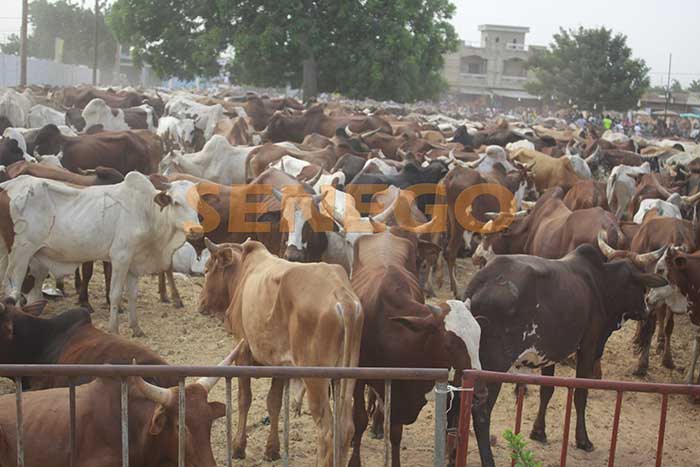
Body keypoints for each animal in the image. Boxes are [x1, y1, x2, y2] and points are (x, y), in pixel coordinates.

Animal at [0, 172, 202, 336]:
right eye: (176, 202)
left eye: (197, 204)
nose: (196, 229)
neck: (146, 212)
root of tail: (7, 186)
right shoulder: (120, 257)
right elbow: (116, 294)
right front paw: (114, 330)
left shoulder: (133, 264)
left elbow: (133, 295)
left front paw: (136, 328)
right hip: (21, 253)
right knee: (13, 287)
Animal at [197, 239, 360, 466]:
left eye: (206, 270)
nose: (201, 303)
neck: (244, 273)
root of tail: (341, 295)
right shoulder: (282, 365)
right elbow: (273, 403)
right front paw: (272, 450)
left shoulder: (242, 350)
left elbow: (244, 399)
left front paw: (238, 446)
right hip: (345, 378)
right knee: (345, 429)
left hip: (316, 379)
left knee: (326, 431)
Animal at [350, 228, 482, 467]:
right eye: (450, 343)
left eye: (478, 337)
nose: (480, 390)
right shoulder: (359, 376)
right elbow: (359, 419)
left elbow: (395, 433)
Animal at [464, 245, 668, 467]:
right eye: (641, 285)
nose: (647, 308)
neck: (601, 283)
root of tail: (482, 279)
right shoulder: (588, 346)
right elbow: (580, 394)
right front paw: (583, 440)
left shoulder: (549, 352)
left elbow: (547, 390)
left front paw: (538, 431)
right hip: (494, 365)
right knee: (481, 412)